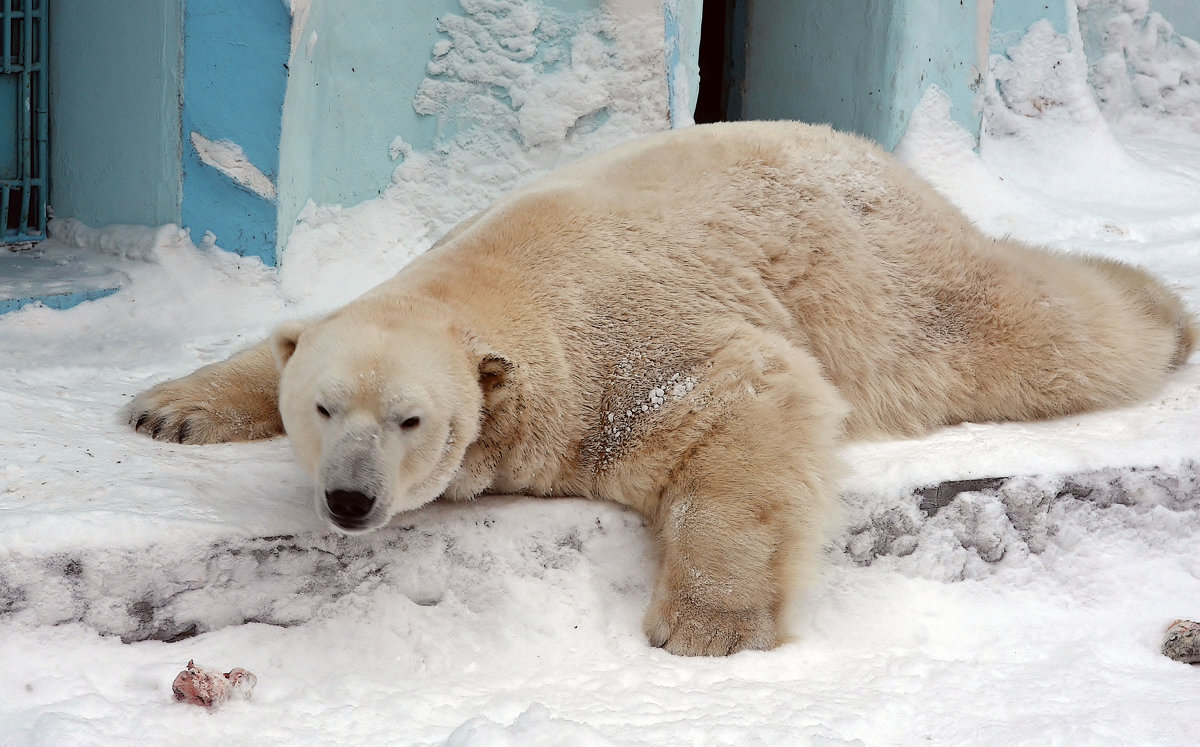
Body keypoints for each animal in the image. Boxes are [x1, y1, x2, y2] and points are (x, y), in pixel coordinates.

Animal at [126, 121, 1195, 653]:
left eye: (410, 419)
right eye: (322, 408)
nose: (349, 499)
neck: (498, 283)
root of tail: (879, 155)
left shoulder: (619, 360)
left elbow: (751, 399)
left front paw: (706, 626)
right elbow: (278, 342)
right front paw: (166, 406)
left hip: (893, 284)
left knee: (1039, 329)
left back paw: (1161, 307)